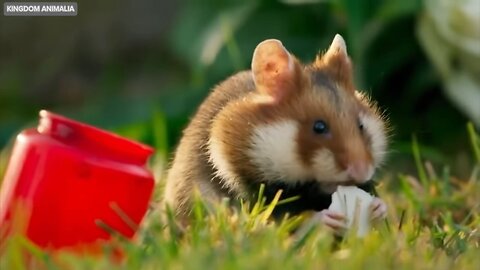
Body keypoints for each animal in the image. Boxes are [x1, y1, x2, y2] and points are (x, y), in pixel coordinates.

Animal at [163, 34, 388, 231]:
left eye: (361, 125)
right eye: (319, 127)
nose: (362, 172)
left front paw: (379, 208)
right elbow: (287, 214)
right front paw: (325, 218)